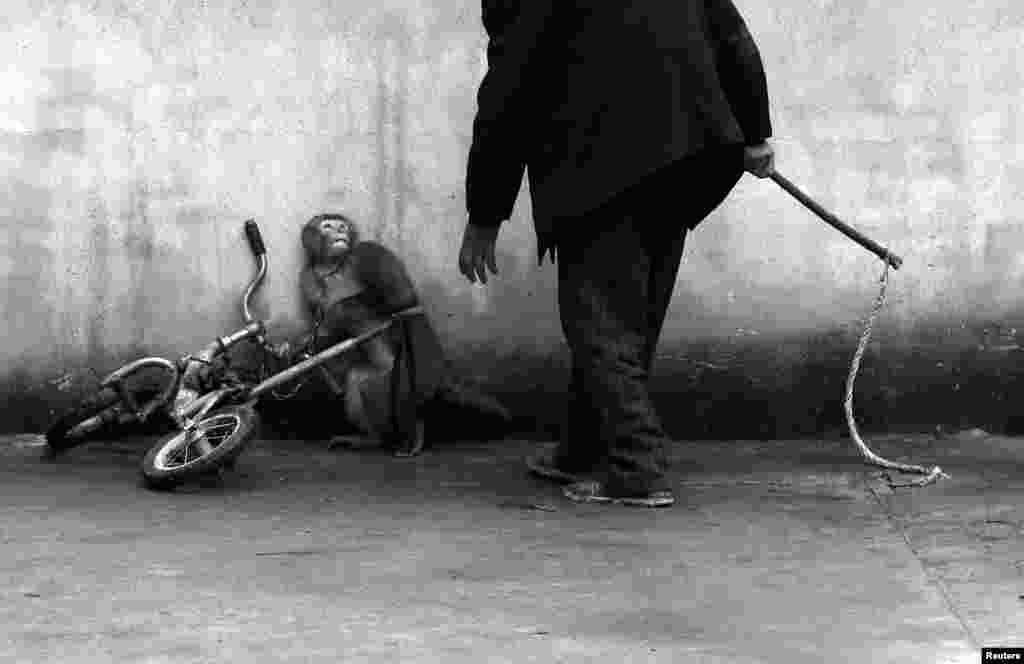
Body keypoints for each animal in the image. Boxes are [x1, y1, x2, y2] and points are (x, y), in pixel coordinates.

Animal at [294, 214, 509, 457]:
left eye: (342, 225)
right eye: (327, 226)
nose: (340, 230)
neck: (333, 266)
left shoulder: (366, 252)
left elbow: (402, 297)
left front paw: (336, 314)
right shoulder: (307, 278)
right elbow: (323, 335)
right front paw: (304, 345)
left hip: (407, 374)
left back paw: (404, 433)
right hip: (379, 374)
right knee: (357, 380)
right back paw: (372, 437)